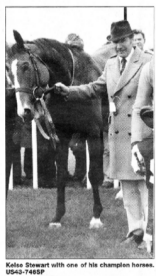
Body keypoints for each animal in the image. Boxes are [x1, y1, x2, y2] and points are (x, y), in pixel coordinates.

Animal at [7, 30, 113, 229]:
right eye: (8, 70)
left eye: (25, 66)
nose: (24, 110)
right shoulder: (62, 136)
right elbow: (61, 174)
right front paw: (57, 217)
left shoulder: (93, 134)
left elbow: (94, 174)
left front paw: (96, 216)